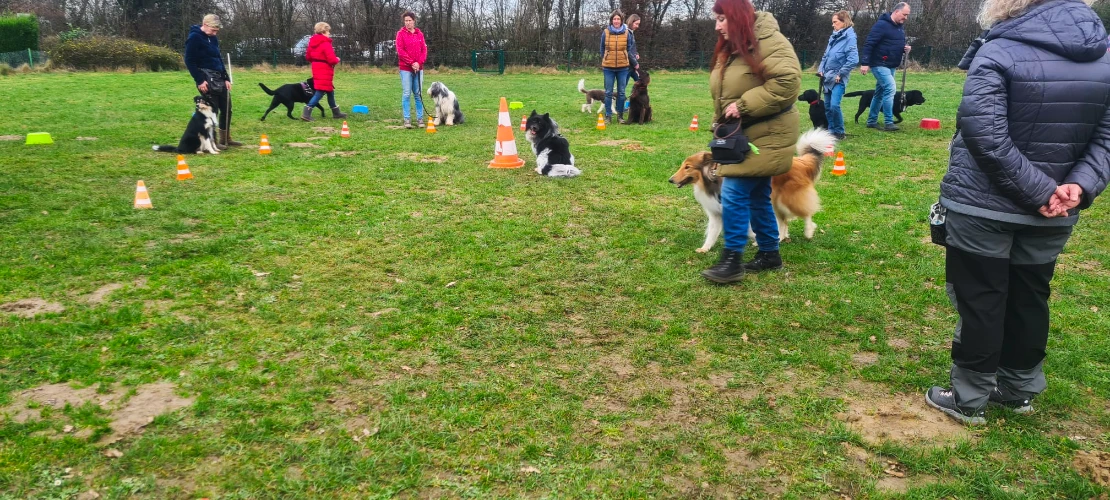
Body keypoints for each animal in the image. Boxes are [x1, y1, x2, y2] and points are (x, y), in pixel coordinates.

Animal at [661, 128, 834, 252]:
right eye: (683, 166)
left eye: (687, 167)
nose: (670, 180)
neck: (712, 180)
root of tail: (802, 162)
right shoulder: (716, 213)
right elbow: (712, 233)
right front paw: (705, 248)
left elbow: (748, 229)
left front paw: (756, 240)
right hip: (774, 203)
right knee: (783, 221)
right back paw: (780, 238)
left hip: (788, 199)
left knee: (806, 213)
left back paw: (808, 232)